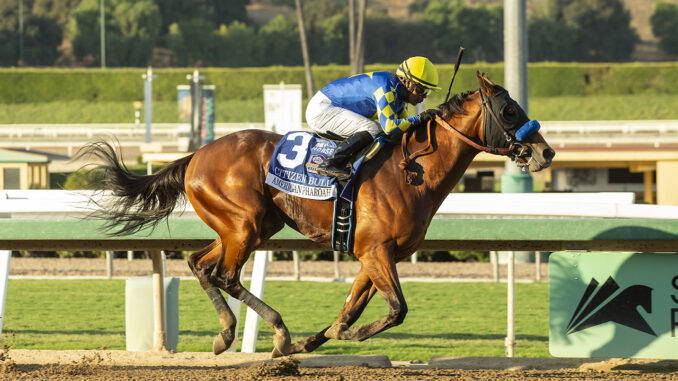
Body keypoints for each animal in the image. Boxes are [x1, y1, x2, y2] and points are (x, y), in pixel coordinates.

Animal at [82, 71, 556, 356]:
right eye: (509, 110)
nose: (546, 152)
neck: (413, 172)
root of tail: (196, 153)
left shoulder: (374, 255)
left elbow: (352, 308)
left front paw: (316, 340)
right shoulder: (376, 251)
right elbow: (396, 310)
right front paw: (331, 338)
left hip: (250, 225)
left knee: (200, 264)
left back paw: (226, 334)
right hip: (244, 224)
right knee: (225, 275)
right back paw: (277, 331)